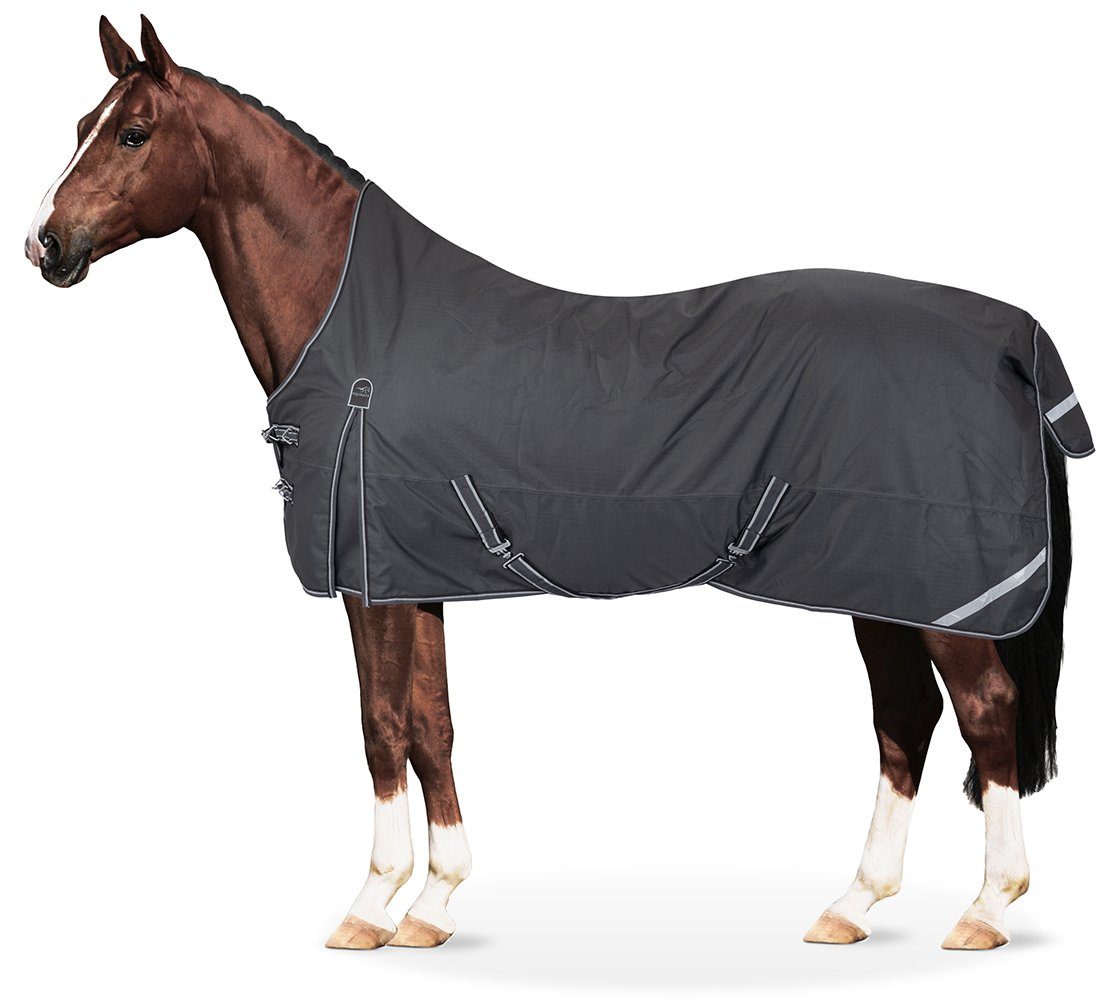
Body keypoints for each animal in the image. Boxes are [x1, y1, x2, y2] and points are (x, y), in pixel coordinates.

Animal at [24, 16, 1082, 952]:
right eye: (81, 124)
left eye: (132, 131)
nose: (45, 246)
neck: (360, 332)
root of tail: (1011, 335)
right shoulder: (416, 579)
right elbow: (433, 726)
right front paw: (435, 905)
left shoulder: (368, 580)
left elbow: (379, 728)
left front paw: (370, 907)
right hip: (878, 587)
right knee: (906, 722)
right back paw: (853, 906)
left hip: (942, 598)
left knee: (986, 716)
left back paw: (985, 911)